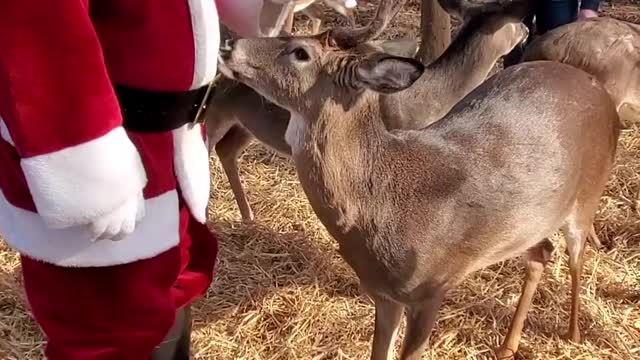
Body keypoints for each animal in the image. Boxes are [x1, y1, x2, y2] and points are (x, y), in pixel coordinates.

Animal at [206, 0, 528, 221]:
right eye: (513, 22)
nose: (526, 31)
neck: (428, 101)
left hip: (245, 124)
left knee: (226, 149)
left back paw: (247, 216)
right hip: (214, 112)